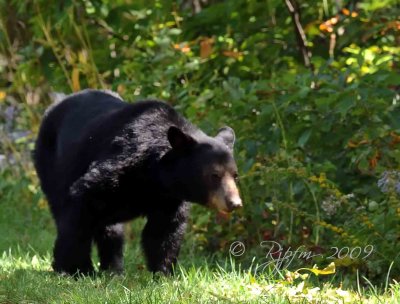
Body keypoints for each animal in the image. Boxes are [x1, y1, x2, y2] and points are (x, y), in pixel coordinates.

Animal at [33, 88, 241, 276]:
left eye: (235, 175)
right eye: (214, 175)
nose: (235, 203)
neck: (155, 176)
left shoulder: (169, 198)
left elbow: (164, 230)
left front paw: (163, 272)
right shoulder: (120, 164)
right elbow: (81, 203)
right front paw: (74, 268)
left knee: (111, 229)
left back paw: (114, 268)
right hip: (52, 163)